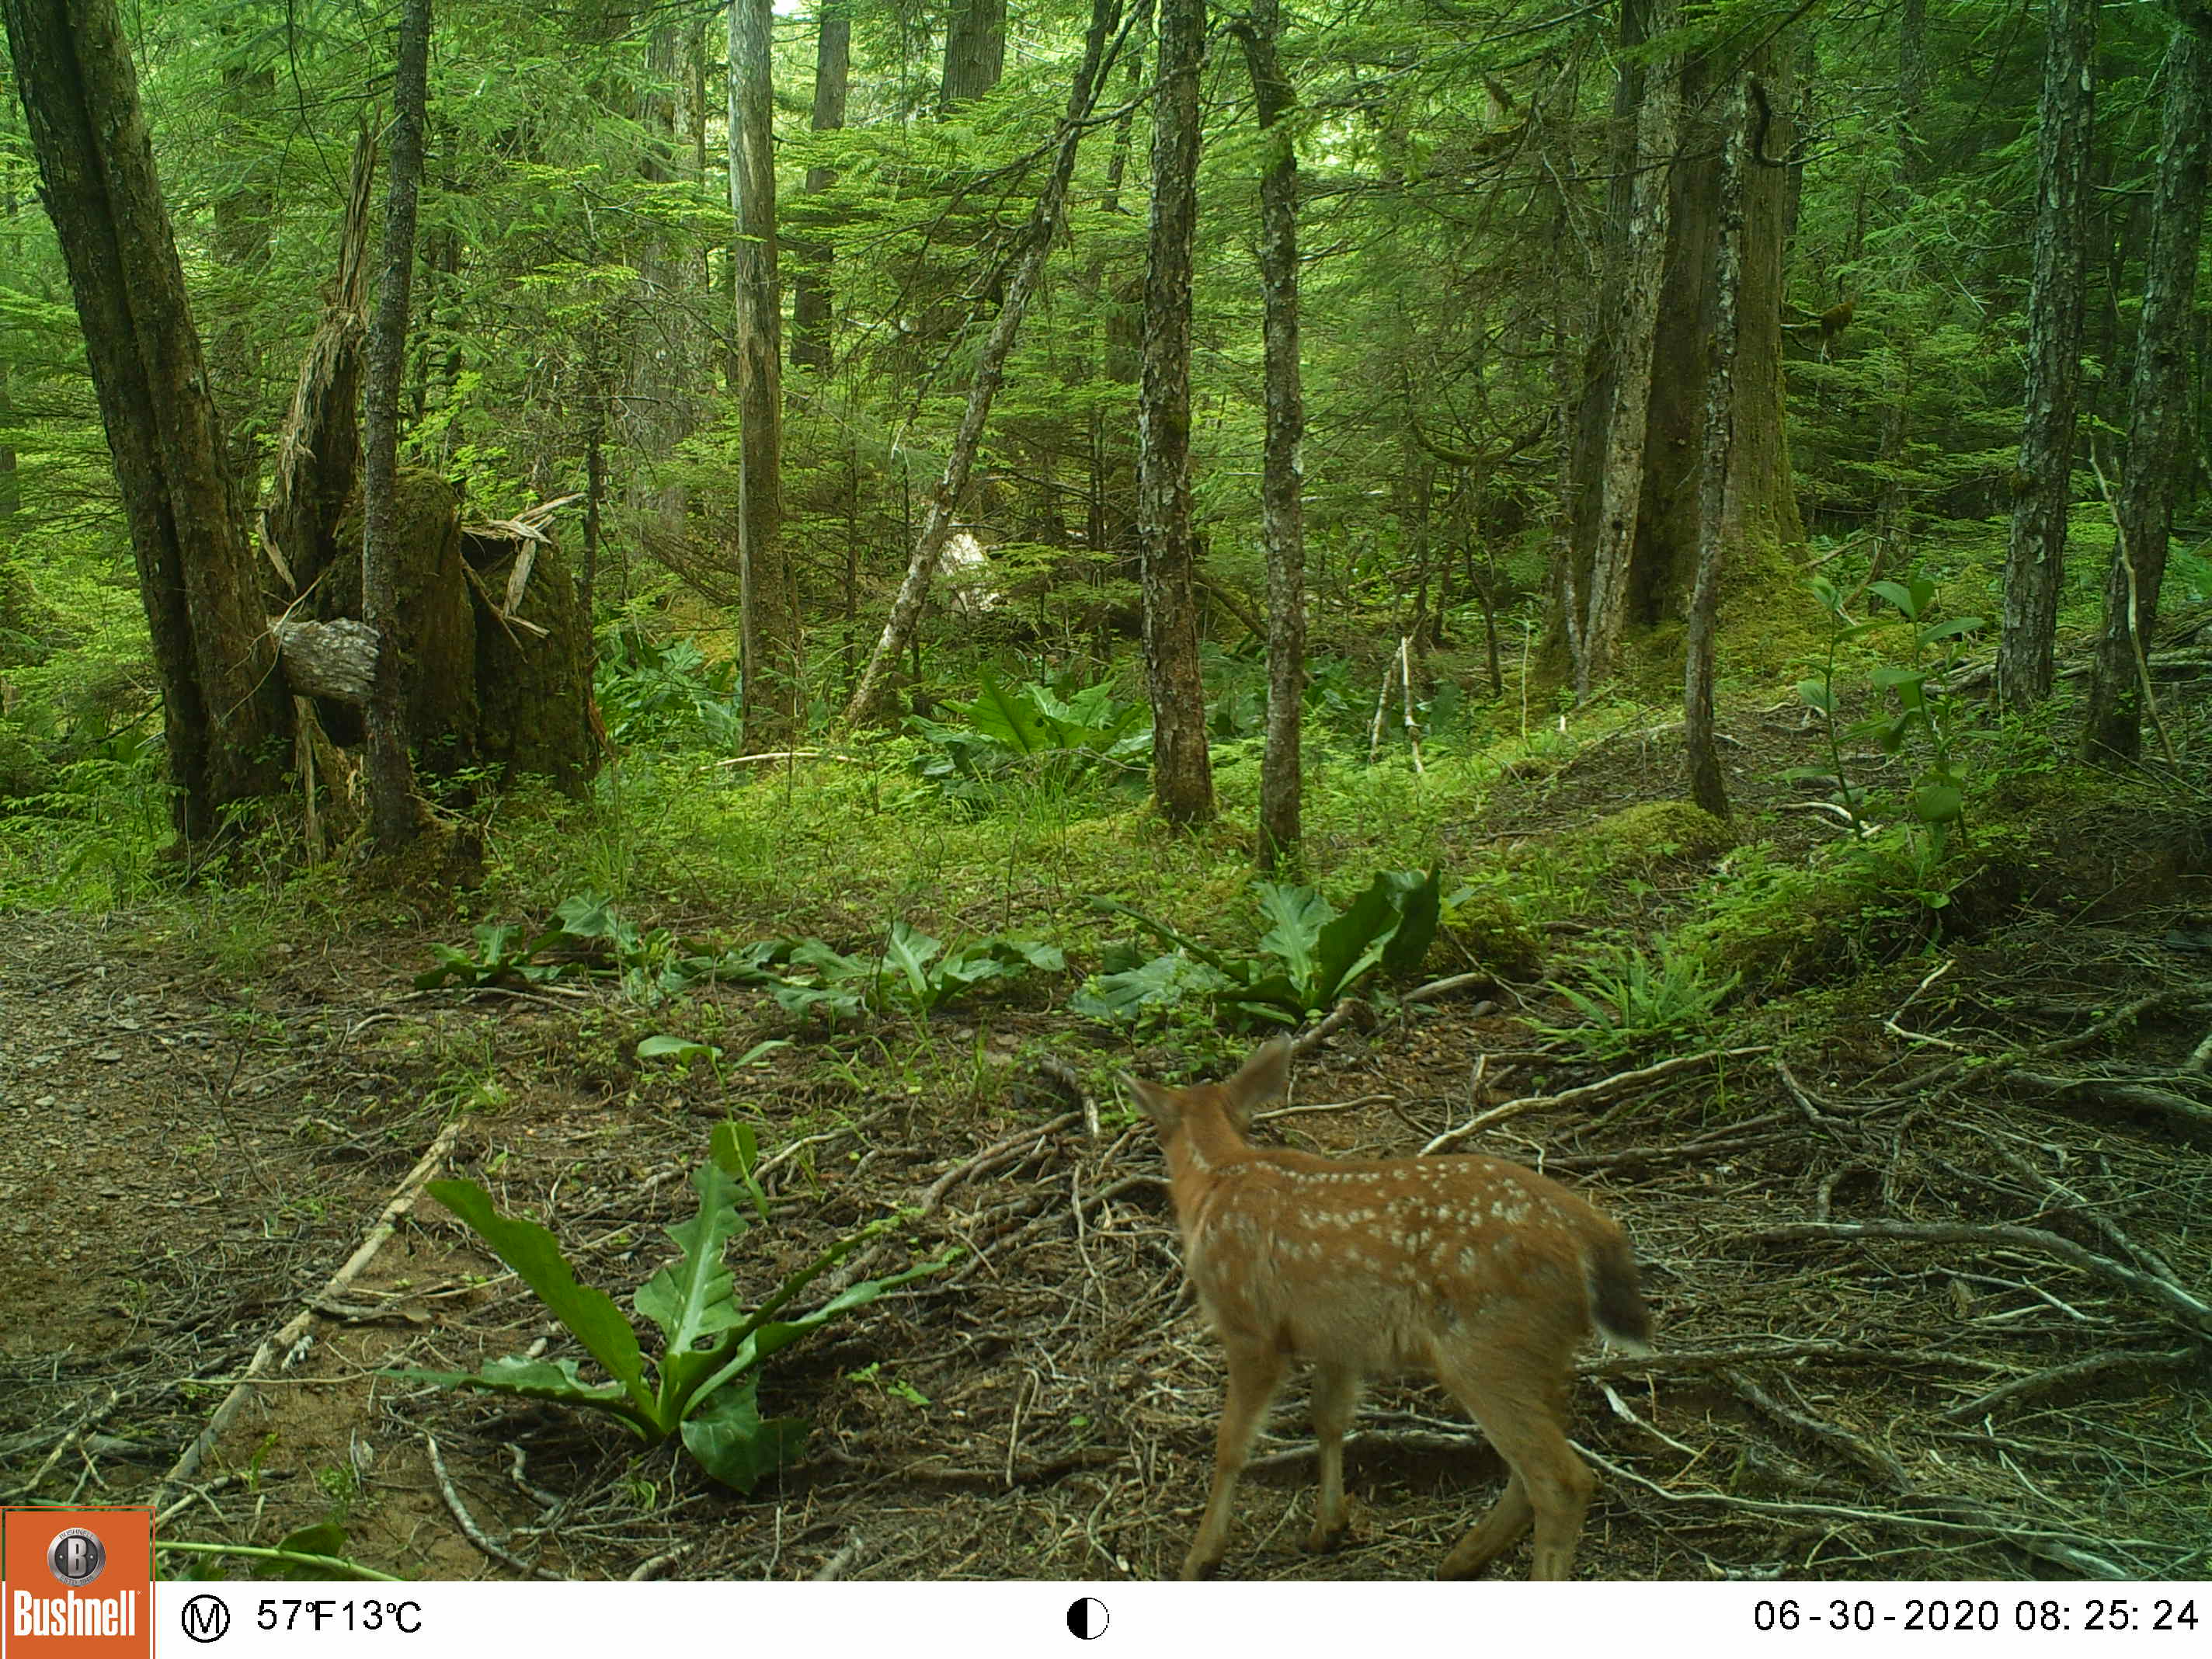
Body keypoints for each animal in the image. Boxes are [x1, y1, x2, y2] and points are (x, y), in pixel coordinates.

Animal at [1126, 1038, 1651, 1582]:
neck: (1215, 1180)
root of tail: (1592, 1232)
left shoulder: (1250, 1326)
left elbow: (1232, 1442)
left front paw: (1201, 1556)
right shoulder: (1336, 1339)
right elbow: (1329, 1417)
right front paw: (1329, 1528)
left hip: (1489, 1348)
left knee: (1562, 1480)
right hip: (1540, 1353)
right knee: (1532, 1472)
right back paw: (1460, 1559)